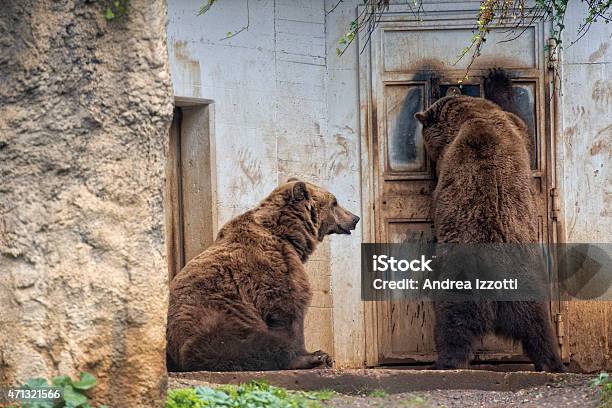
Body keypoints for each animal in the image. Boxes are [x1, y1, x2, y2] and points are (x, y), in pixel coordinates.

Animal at [166, 178, 358, 370]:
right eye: (335, 202)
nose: (355, 218)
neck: (290, 236)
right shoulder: (275, 265)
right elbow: (288, 311)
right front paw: (309, 353)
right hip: (219, 318)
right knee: (250, 345)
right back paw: (316, 358)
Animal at [414, 71, 560, 372]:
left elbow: (524, 125)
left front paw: (497, 77)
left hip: (464, 281)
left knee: (453, 325)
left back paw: (444, 362)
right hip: (527, 285)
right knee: (539, 328)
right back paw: (553, 362)